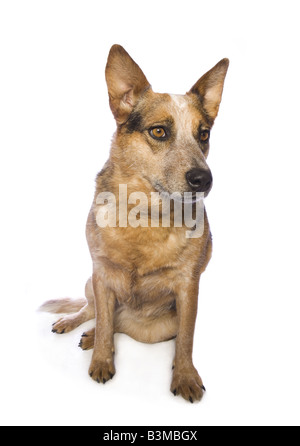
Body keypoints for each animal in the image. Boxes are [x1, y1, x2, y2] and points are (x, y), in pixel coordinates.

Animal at [39, 45, 227, 404]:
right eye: (159, 131)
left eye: (204, 135)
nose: (204, 179)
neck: (146, 216)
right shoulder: (101, 274)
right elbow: (103, 322)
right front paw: (101, 359)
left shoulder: (189, 287)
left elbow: (186, 339)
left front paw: (184, 375)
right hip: (90, 282)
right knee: (92, 311)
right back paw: (77, 325)